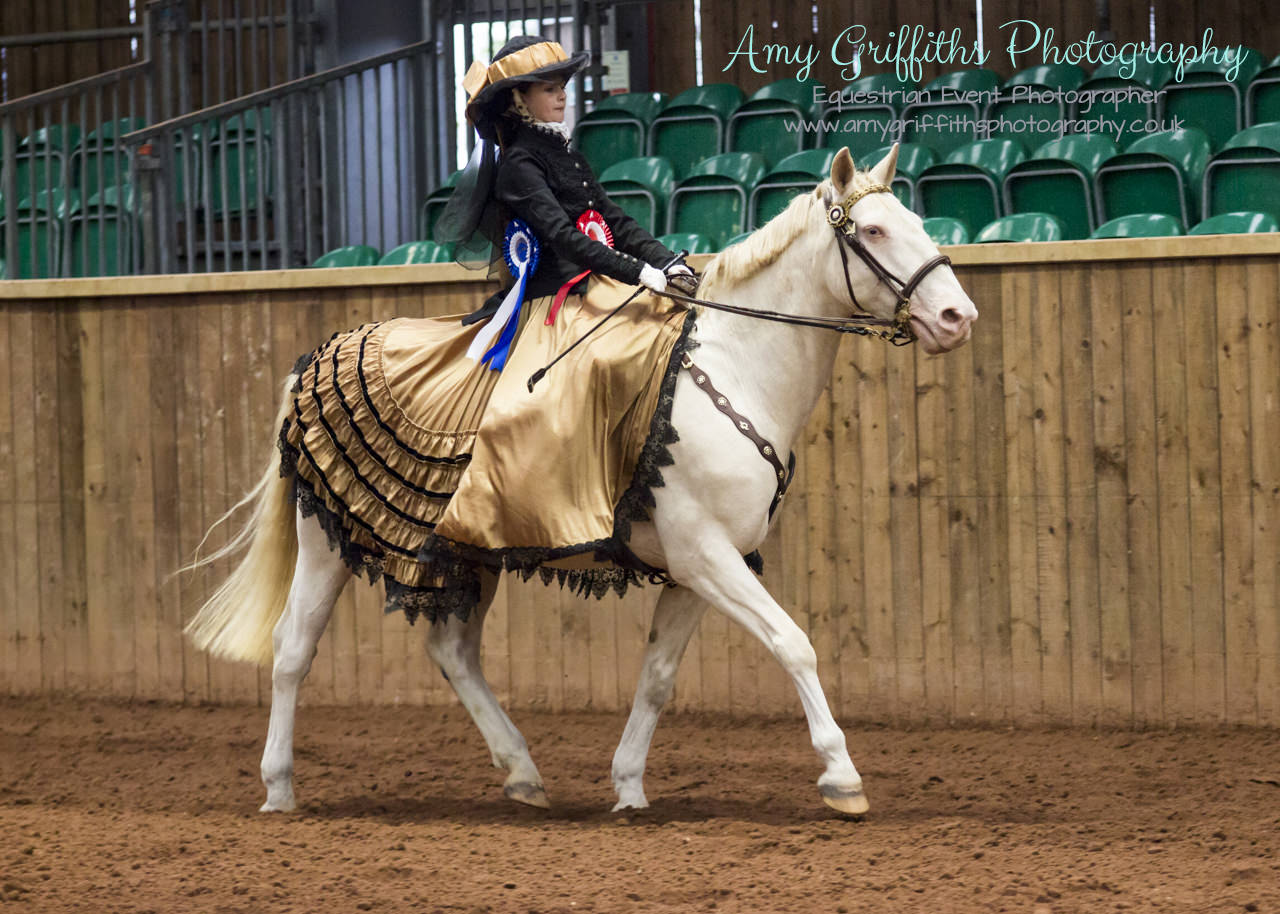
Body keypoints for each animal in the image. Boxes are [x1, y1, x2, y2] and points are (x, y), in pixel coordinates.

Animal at [185, 145, 972, 814]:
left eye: (918, 222)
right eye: (872, 229)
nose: (956, 317)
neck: (736, 369)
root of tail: (316, 358)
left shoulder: (701, 568)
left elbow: (658, 677)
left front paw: (628, 785)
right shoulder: (706, 555)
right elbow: (793, 643)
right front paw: (842, 777)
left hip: (467, 551)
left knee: (452, 653)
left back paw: (523, 774)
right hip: (327, 537)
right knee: (293, 649)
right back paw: (280, 788)